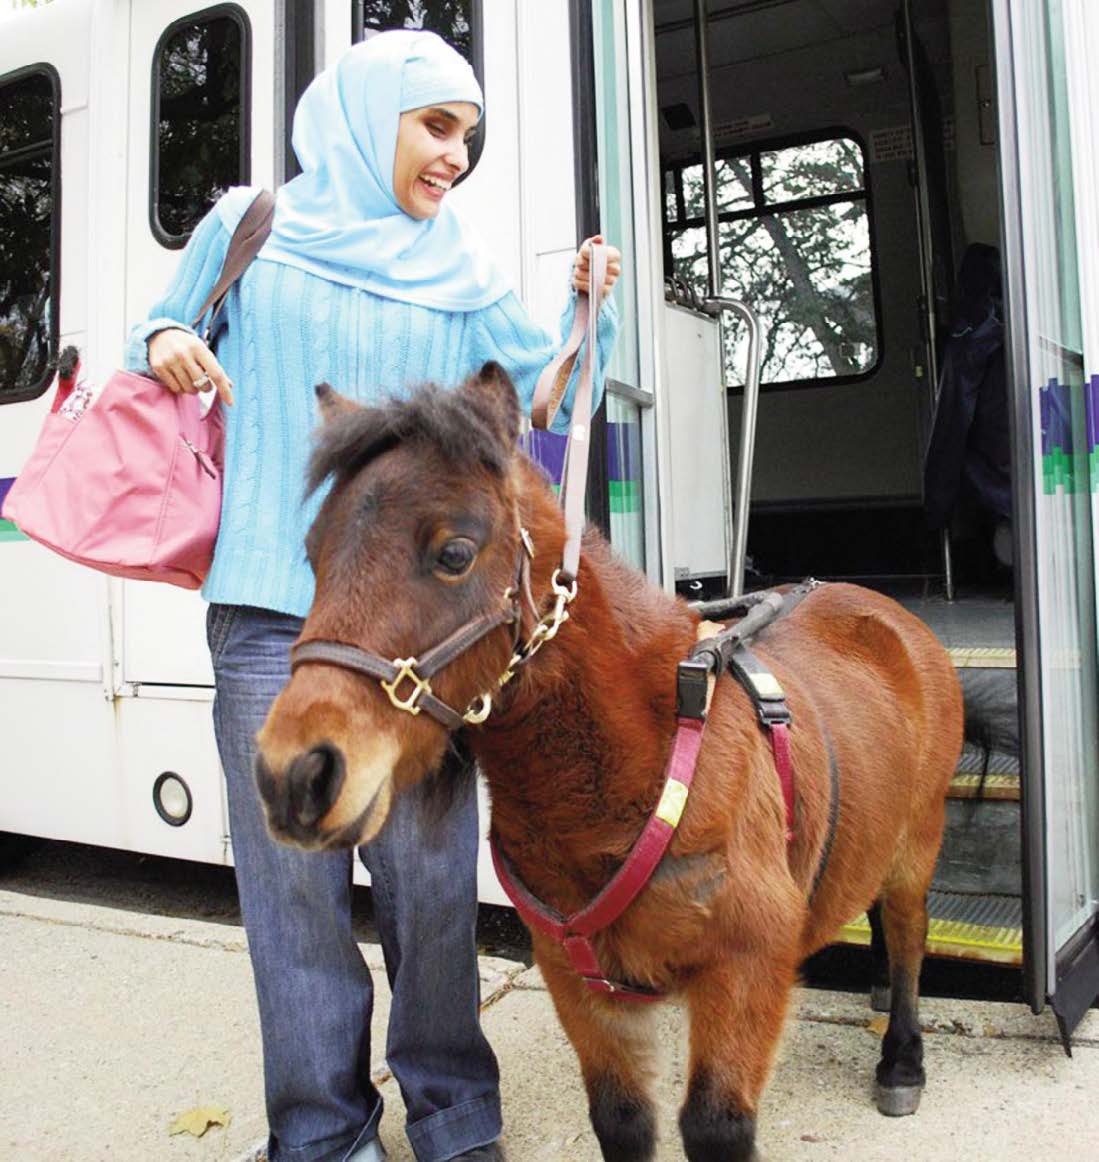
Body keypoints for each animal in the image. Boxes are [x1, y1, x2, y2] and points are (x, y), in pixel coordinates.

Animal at [254, 362, 957, 1162]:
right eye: (313, 556)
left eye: (454, 553)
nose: (294, 777)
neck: (630, 774)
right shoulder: (580, 984)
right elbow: (620, 1119)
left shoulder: (743, 969)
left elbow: (714, 1126)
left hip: (918, 842)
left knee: (908, 934)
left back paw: (900, 1059)